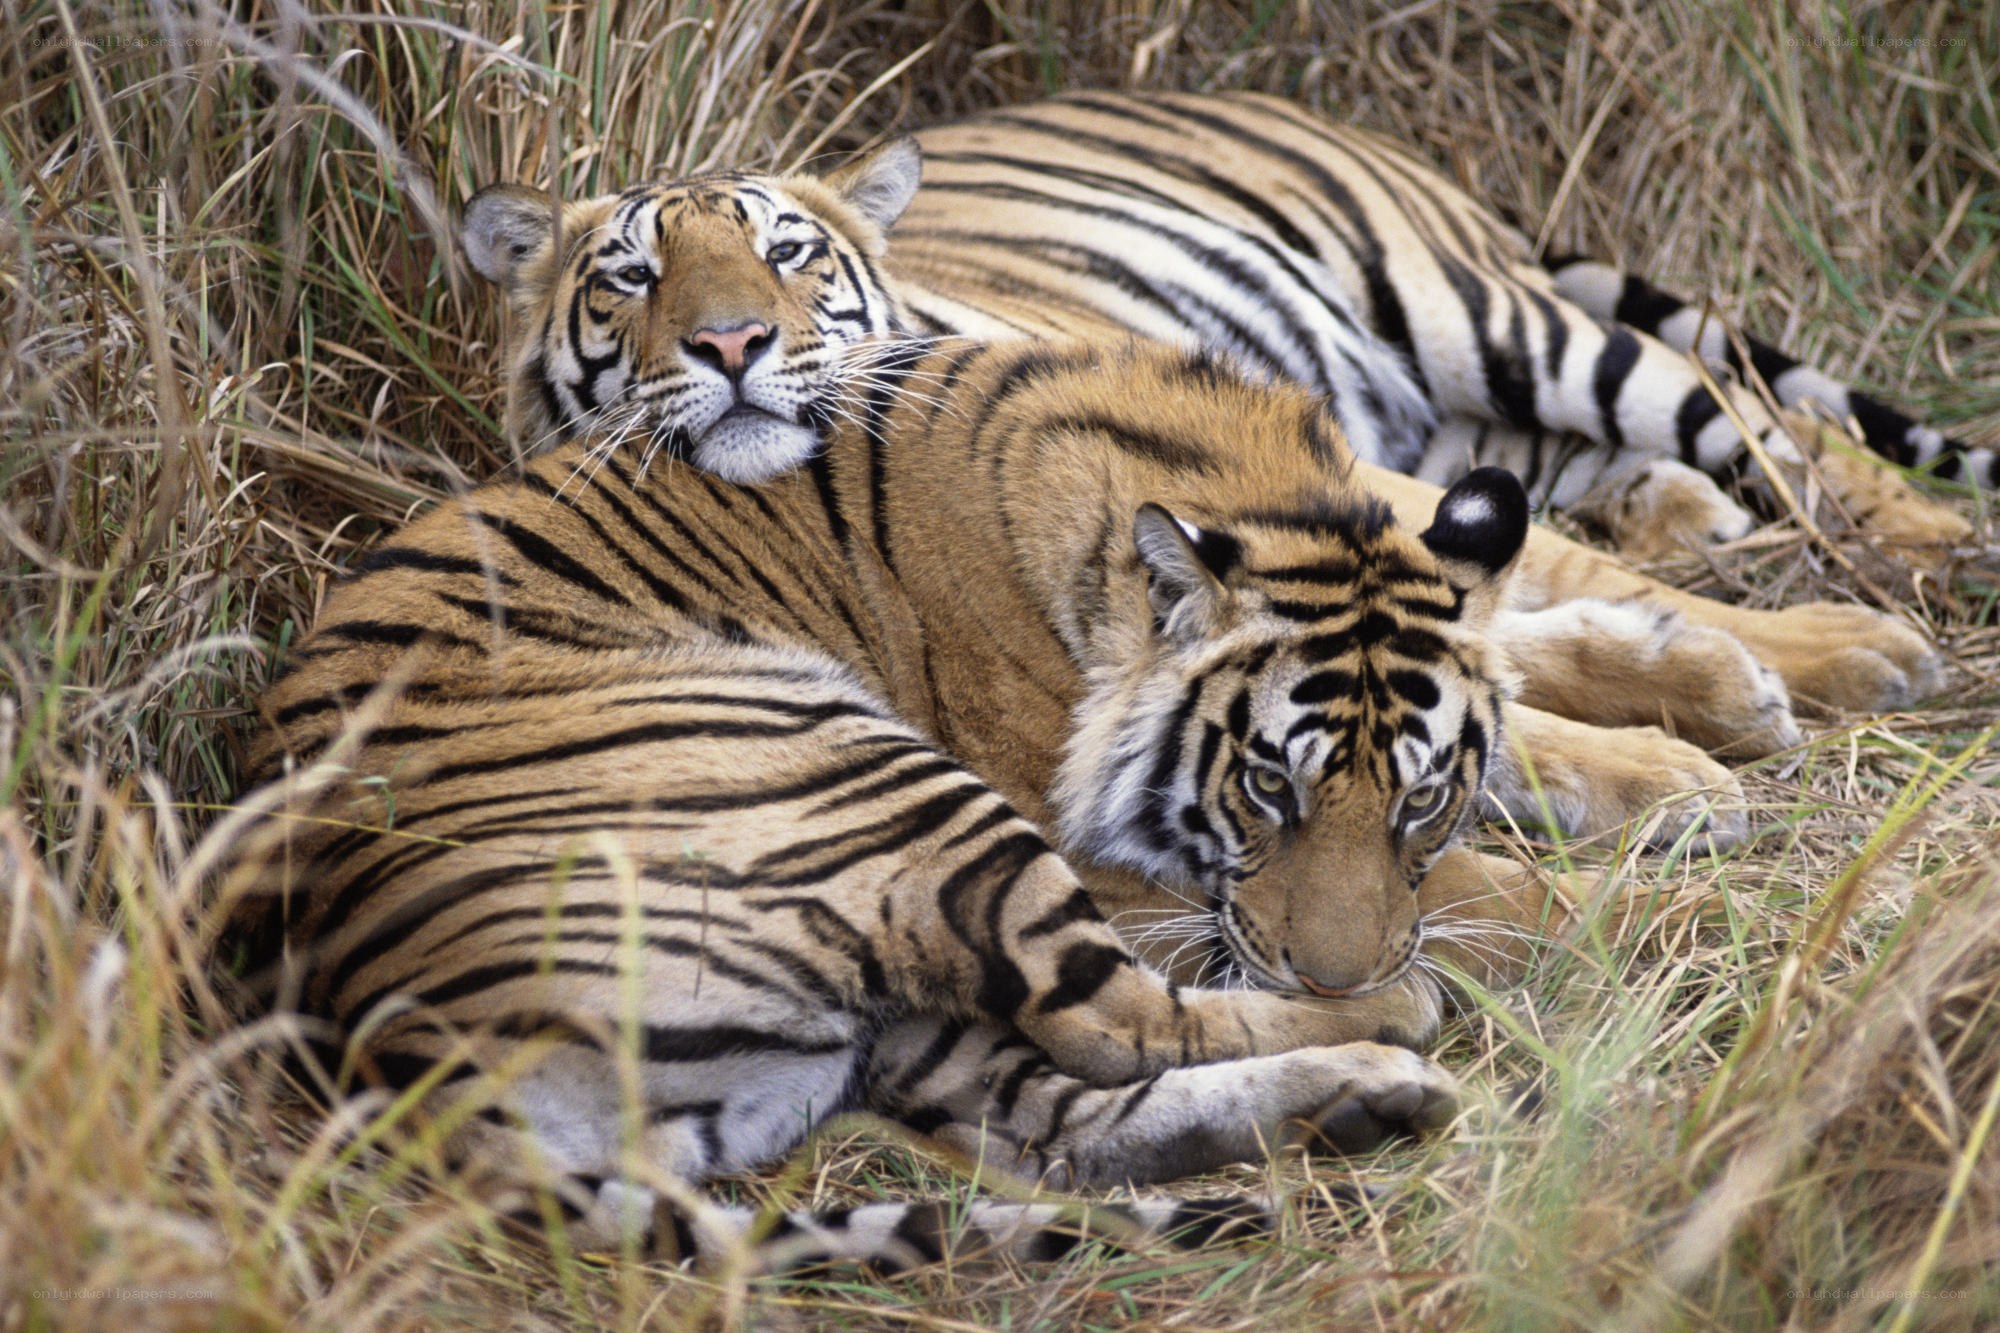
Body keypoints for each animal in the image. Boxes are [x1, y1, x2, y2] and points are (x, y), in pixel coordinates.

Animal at [887, 90, 1981, 561]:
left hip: (1476, 315)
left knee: (1755, 412)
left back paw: (1929, 535)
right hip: (1448, 411)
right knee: (1569, 454)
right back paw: (1688, 515)